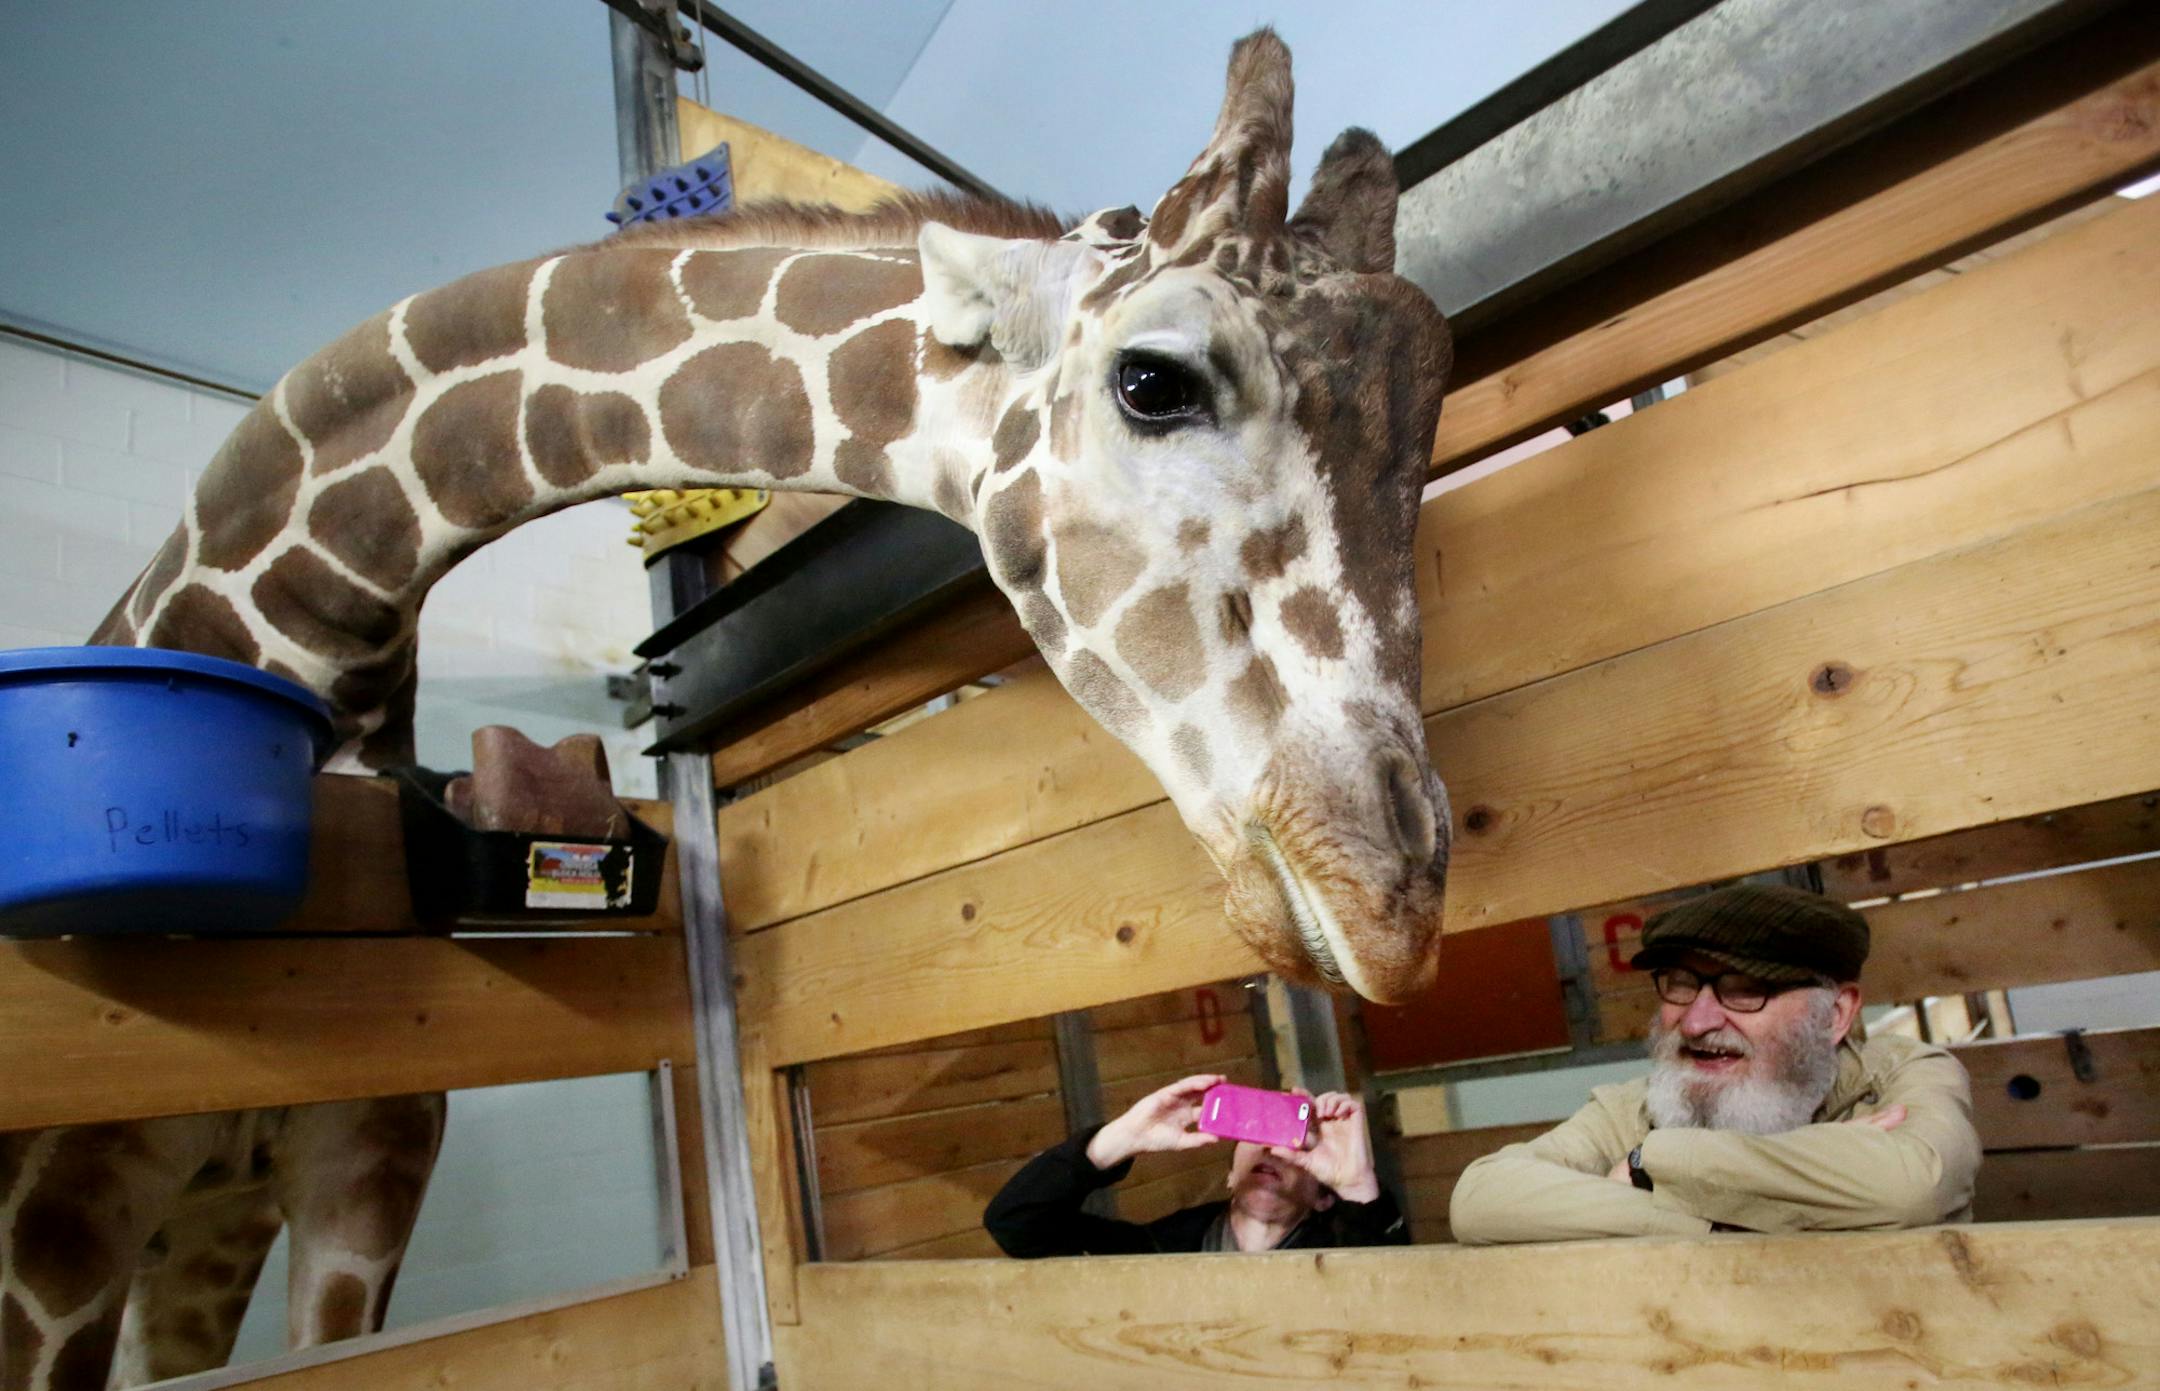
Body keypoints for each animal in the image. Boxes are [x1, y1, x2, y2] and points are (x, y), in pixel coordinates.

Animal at [1, 28, 1453, 1389]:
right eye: (1154, 379)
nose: (1393, 901)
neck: (302, 620)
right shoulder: (57, 1223)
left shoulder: (363, 1166)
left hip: (214, 1224)